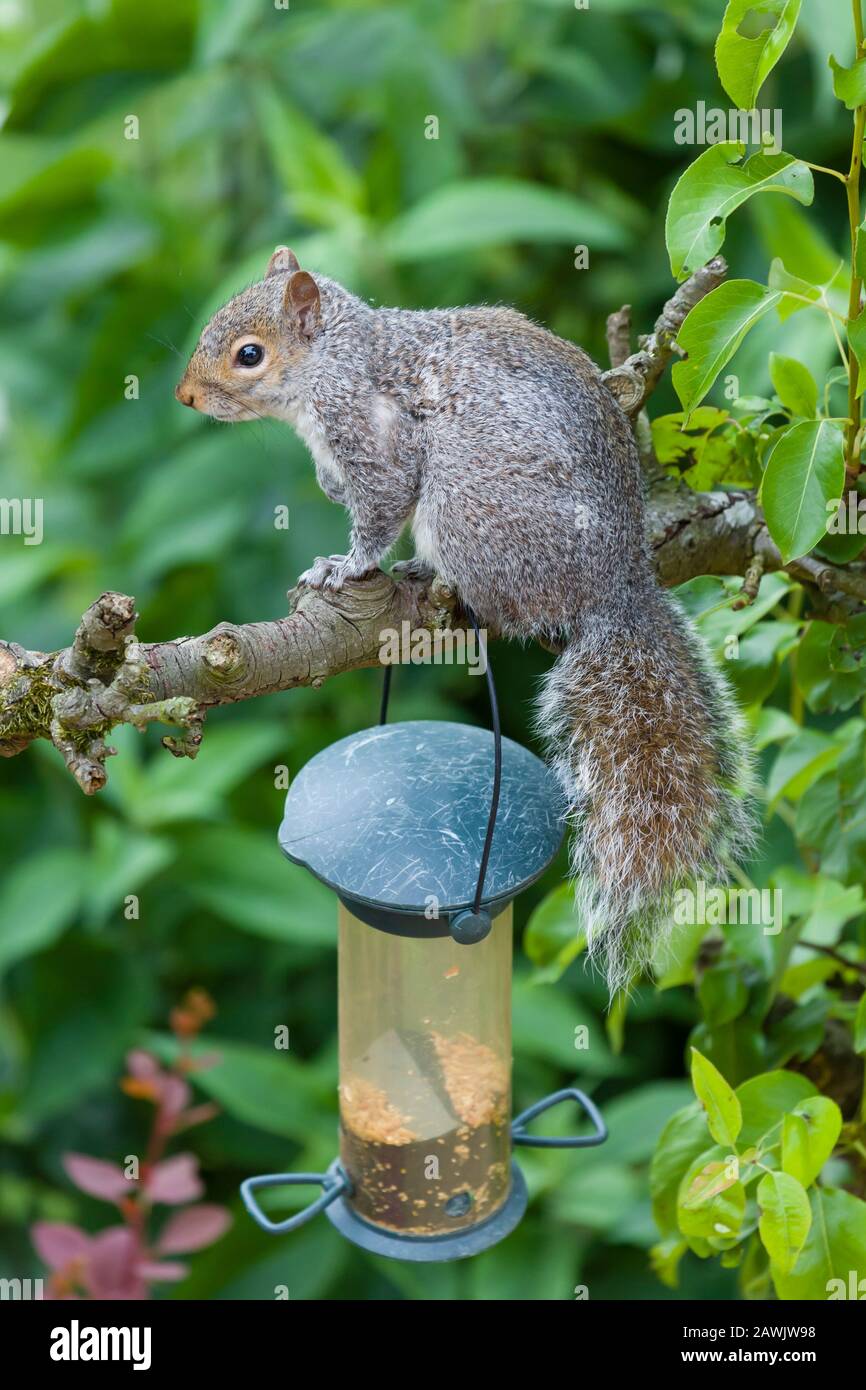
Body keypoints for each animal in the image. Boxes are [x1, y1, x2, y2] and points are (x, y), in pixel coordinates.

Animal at [176, 250, 750, 989]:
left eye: (249, 355)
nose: (186, 396)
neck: (334, 360)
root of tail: (614, 584)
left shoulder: (374, 434)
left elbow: (379, 509)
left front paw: (343, 567)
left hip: (466, 500)